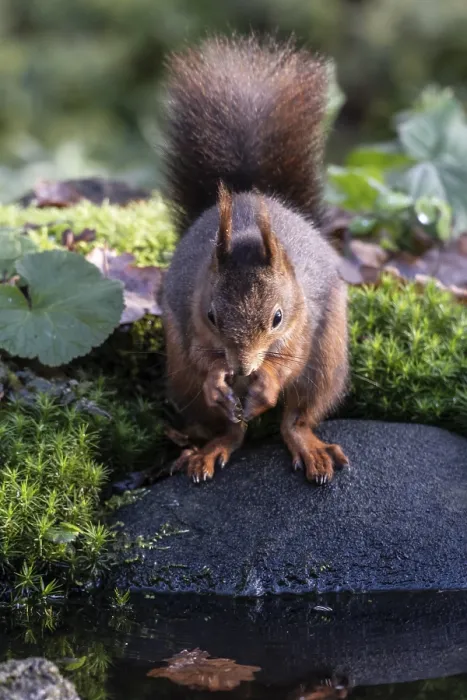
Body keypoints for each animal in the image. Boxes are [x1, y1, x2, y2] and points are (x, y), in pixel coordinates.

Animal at [161, 35, 349, 484]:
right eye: (212, 316)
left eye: (278, 317)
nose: (244, 369)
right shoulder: (189, 318)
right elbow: (204, 357)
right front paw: (218, 379)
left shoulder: (304, 320)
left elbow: (290, 361)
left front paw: (268, 383)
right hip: (181, 375)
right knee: (232, 431)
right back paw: (210, 449)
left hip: (327, 362)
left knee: (296, 419)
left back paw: (310, 447)